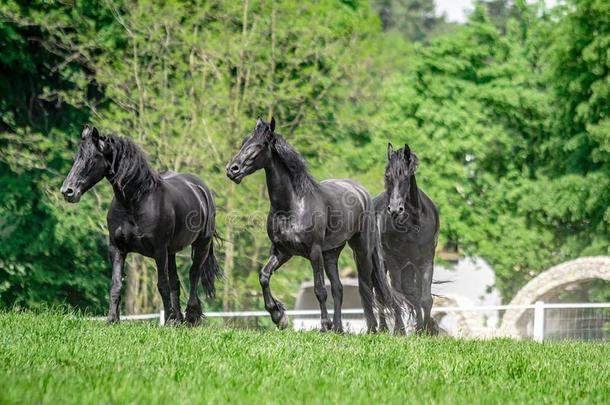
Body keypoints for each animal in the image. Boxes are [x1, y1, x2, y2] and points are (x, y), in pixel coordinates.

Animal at [59, 124, 220, 324]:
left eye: (91, 159)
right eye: (77, 157)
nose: (67, 191)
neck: (135, 202)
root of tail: (201, 188)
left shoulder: (159, 251)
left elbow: (162, 285)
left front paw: (167, 320)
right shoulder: (117, 249)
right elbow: (116, 284)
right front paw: (112, 320)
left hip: (200, 246)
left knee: (193, 274)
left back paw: (189, 316)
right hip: (172, 252)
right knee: (176, 281)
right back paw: (178, 320)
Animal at [224, 117, 400, 332]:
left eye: (258, 145)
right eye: (243, 143)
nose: (232, 170)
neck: (292, 206)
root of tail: (361, 191)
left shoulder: (314, 252)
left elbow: (319, 289)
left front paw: (324, 325)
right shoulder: (282, 251)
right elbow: (264, 276)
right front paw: (278, 315)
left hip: (361, 250)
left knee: (368, 287)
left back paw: (374, 328)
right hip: (331, 254)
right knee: (339, 288)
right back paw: (339, 328)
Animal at [372, 144, 440, 332]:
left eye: (405, 175)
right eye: (388, 175)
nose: (395, 209)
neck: (411, 226)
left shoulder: (425, 261)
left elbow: (424, 298)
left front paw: (425, 330)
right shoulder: (394, 262)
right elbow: (397, 296)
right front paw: (399, 330)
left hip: (409, 266)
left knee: (412, 293)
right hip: (383, 265)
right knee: (381, 294)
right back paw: (384, 328)